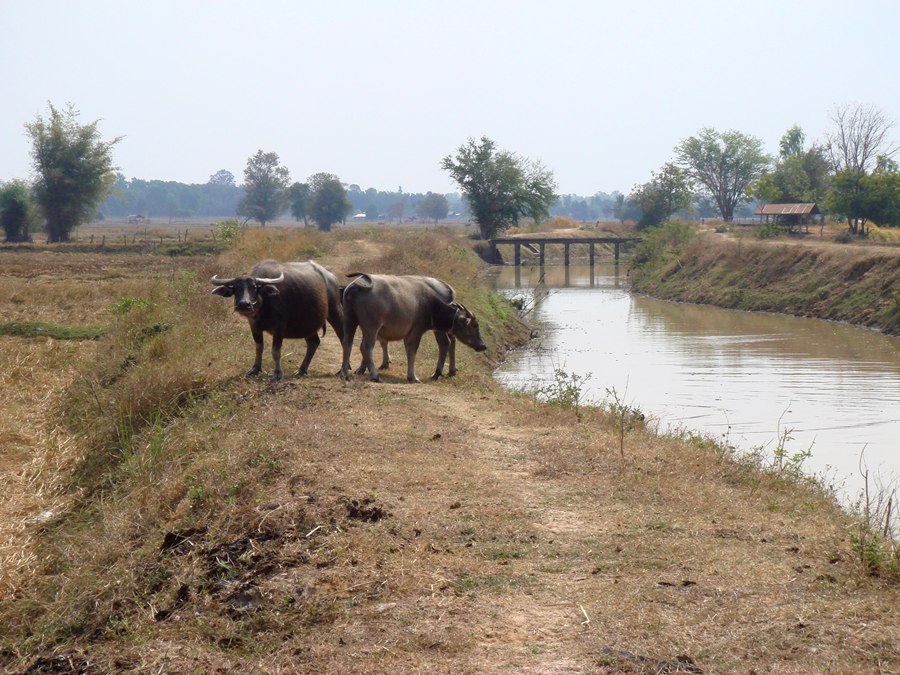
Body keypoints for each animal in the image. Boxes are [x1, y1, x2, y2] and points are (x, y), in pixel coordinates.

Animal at [211, 258, 344, 380]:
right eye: (236, 288)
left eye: (254, 287)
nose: (244, 304)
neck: (263, 306)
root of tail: (332, 278)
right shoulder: (254, 326)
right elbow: (259, 347)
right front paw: (255, 369)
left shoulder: (279, 327)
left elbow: (276, 351)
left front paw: (277, 374)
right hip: (308, 323)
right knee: (314, 342)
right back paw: (301, 370)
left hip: (335, 311)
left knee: (343, 338)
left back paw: (342, 370)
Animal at [342, 272, 488, 382]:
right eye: (475, 326)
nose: (483, 345)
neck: (430, 302)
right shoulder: (416, 331)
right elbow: (412, 351)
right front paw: (412, 376)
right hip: (371, 326)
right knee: (366, 347)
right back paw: (375, 376)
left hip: (350, 320)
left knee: (347, 343)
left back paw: (344, 372)